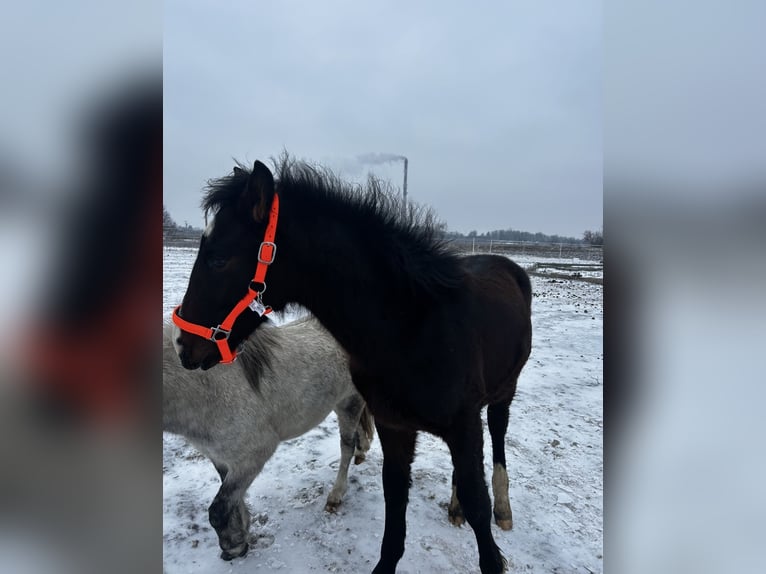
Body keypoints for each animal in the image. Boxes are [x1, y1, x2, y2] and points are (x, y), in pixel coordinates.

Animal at [163, 316, 375, 560]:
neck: (206, 388)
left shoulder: (253, 457)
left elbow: (219, 509)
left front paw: (233, 546)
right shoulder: (221, 458)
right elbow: (232, 501)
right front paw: (242, 532)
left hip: (349, 402)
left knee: (346, 446)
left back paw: (336, 494)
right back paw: (361, 452)